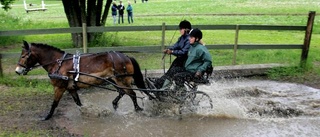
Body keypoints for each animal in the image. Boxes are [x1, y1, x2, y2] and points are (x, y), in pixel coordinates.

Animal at [15, 40, 212, 120]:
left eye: (24, 55)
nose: (18, 70)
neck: (60, 64)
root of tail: (125, 56)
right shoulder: (71, 88)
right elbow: (78, 102)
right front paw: (87, 112)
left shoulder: (60, 87)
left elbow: (54, 104)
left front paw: (46, 117)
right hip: (117, 80)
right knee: (124, 93)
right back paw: (117, 105)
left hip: (122, 79)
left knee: (132, 94)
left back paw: (138, 109)